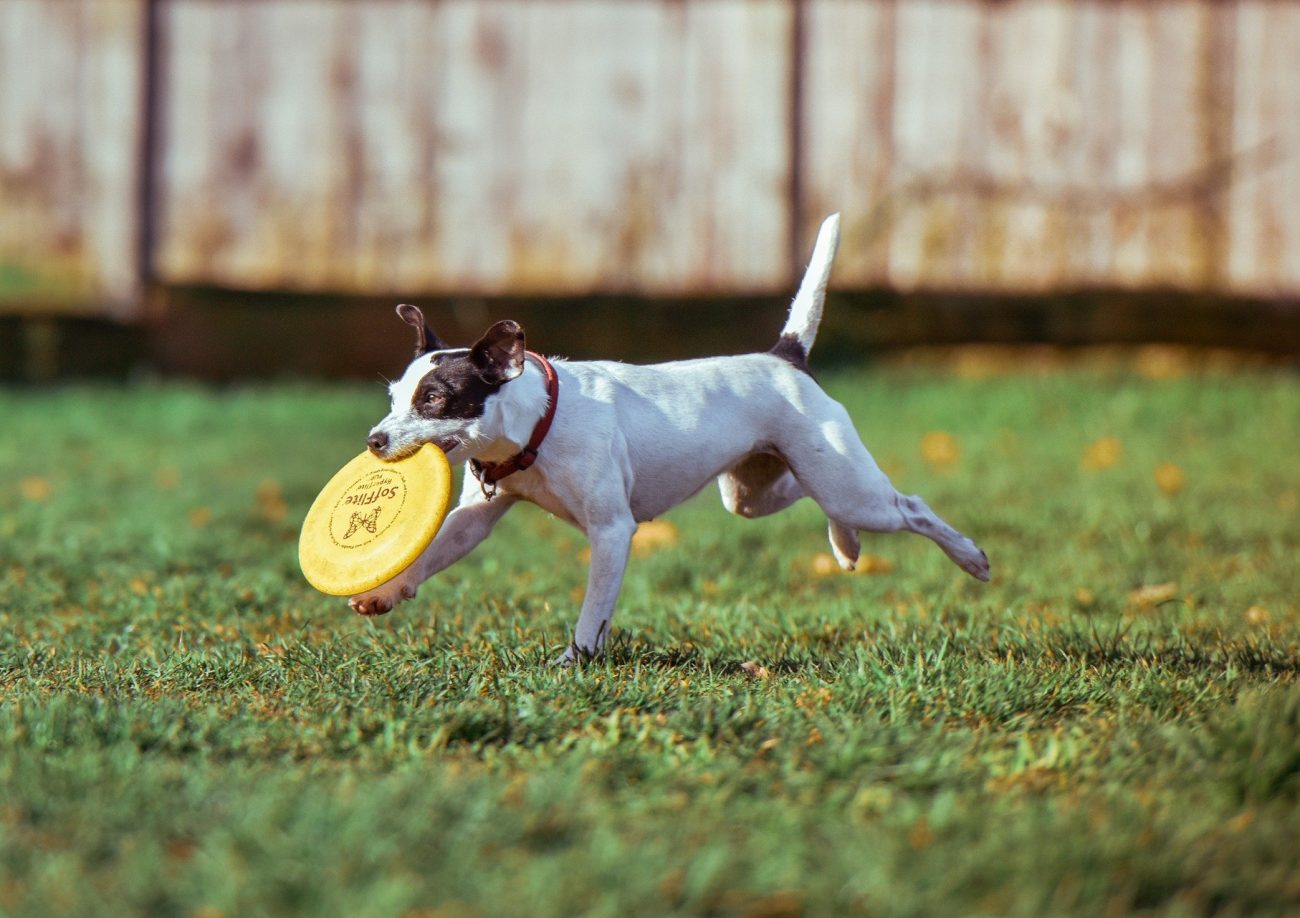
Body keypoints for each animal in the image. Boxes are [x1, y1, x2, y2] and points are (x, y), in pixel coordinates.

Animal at [351, 214, 987, 657]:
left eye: (434, 399)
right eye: (394, 397)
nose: (374, 441)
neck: (538, 424)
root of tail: (785, 357)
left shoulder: (612, 532)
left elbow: (593, 611)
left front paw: (574, 661)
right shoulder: (474, 517)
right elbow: (432, 552)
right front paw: (386, 591)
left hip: (849, 485)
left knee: (910, 506)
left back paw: (970, 557)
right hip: (755, 492)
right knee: (811, 498)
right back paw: (846, 545)